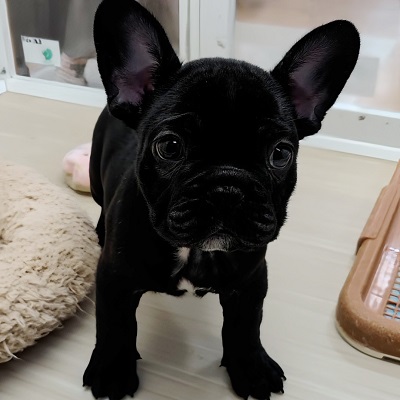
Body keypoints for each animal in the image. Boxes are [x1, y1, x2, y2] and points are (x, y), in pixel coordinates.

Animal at [83, 1, 360, 399]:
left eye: (281, 153)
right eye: (169, 146)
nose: (227, 186)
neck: (196, 251)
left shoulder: (251, 282)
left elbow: (245, 328)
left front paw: (252, 368)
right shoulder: (114, 279)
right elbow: (114, 326)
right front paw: (112, 371)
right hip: (94, 176)